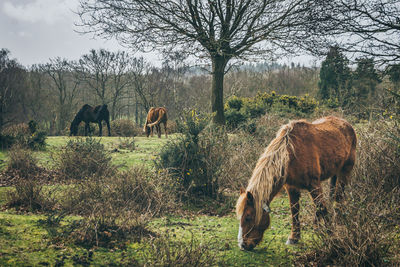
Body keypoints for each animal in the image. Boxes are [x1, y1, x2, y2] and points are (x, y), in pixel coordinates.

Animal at [234, 116, 356, 251]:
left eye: (248, 217)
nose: (242, 245)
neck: (291, 154)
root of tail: (346, 124)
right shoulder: (291, 188)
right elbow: (295, 211)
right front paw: (294, 237)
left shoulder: (314, 184)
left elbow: (322, 207)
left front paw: (332, 234)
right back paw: (317, 227)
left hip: (345, 171)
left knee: (338, 198)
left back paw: (338, 222)